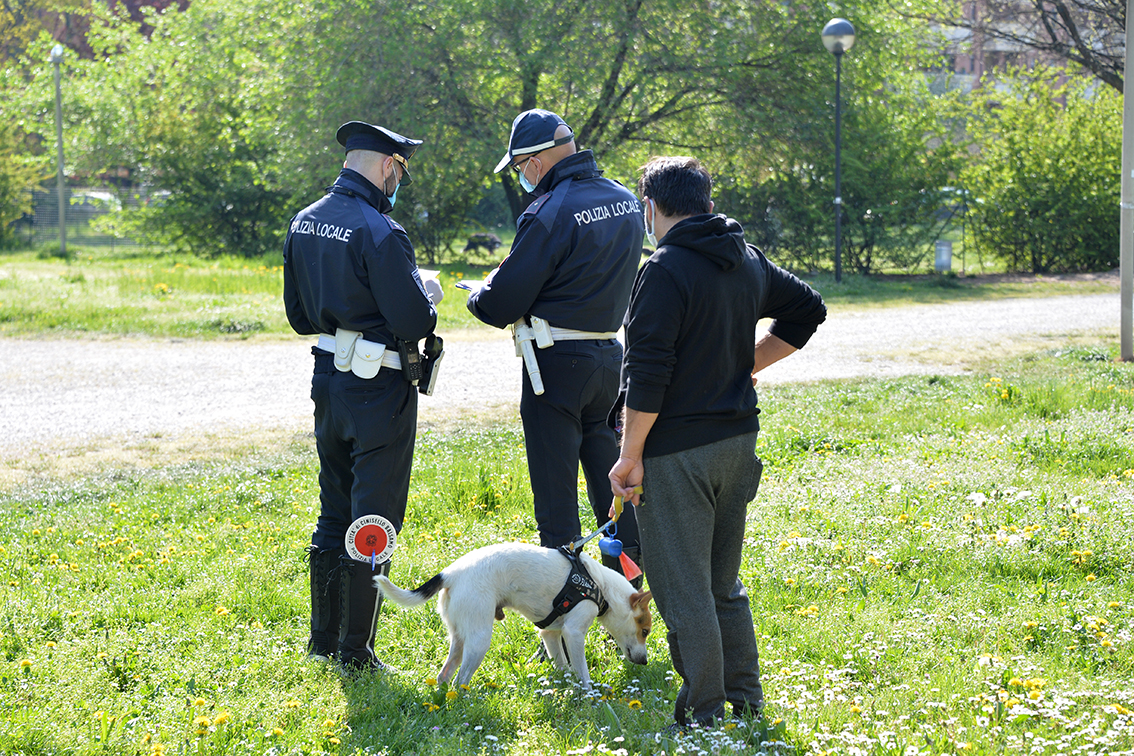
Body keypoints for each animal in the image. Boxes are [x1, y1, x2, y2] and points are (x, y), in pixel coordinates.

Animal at [376, 546, 653, 689]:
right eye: (645, 631)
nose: (645, 662)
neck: (600, 585)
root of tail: (450, 573)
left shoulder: (550, 633)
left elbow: (563, 665)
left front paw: (567, 683)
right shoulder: (573, 633)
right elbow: (582, 671)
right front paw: (589, 694)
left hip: (460, 638)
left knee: (445, 675)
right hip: (479, 641)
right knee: (459, 680)